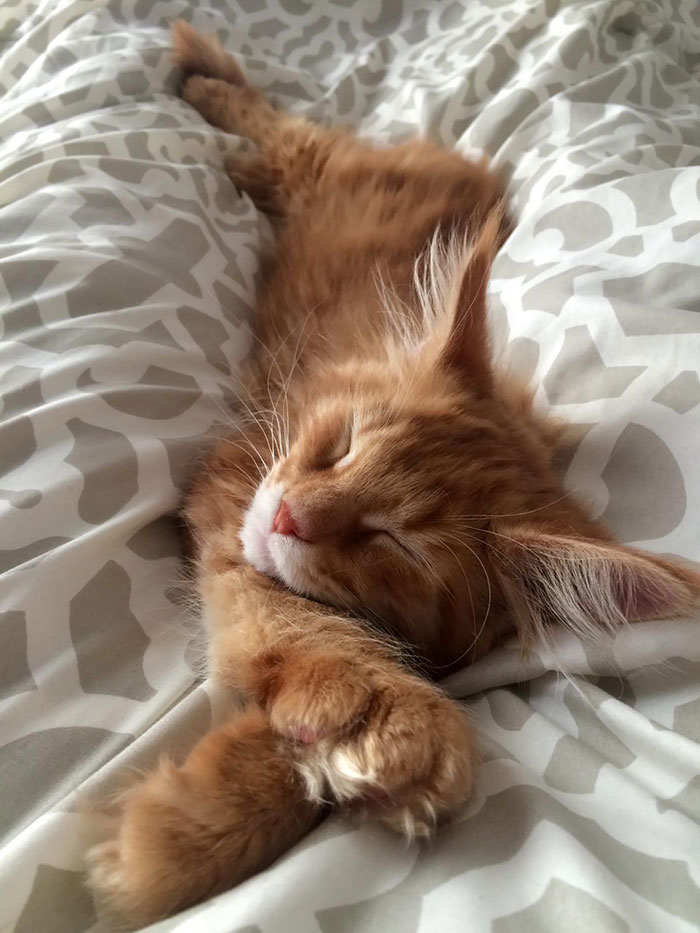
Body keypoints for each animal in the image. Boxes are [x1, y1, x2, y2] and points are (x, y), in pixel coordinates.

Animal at [86, 21, 700, 924]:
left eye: (395, 544)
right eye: (339, 446)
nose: (292, 517)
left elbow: (291, 733)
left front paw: (175, 835)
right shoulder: (233, 485)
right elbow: (288, 615)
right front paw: (380, 708)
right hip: (323, 163)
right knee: (284, 126)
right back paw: (205, 84)